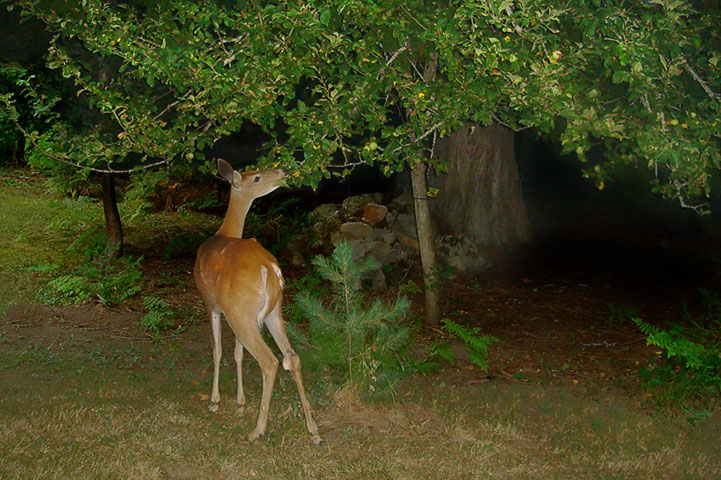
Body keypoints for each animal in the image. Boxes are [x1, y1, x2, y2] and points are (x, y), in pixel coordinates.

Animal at [195, 159, 322, 444]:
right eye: (256, 176)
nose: (284, 172)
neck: (223, 233)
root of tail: (270, 269)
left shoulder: (211, 304)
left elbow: (219, 351)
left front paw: (215, 401)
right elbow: (238, 354)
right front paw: (240, 402)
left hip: (240, 312)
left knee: (270, 362)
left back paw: (257, 430)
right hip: (273, 311)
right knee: (292, 357)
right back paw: (314, 430)